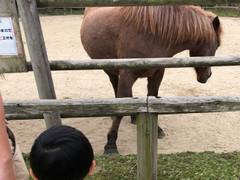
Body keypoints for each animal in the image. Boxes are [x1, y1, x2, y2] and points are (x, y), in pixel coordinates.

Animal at [81, 5, 223, 153]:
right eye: (217, 45)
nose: (208, 75)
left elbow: (152, 97)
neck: (153, 35)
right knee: (115, 85)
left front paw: (157, 129)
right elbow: (120, 108)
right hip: (110, 69)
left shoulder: (157, 73)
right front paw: (110, 144)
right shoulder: (127, 74)